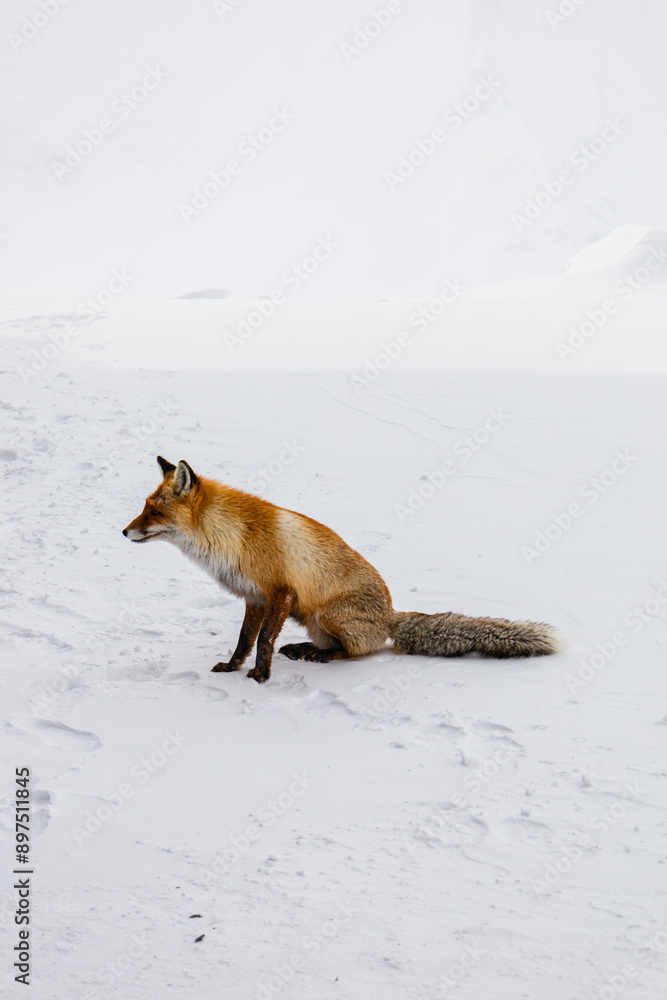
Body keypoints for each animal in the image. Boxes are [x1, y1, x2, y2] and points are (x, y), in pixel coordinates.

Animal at [122, 456, 559, 683]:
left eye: (154, 512)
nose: (124, 531)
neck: (231, 535)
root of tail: (390, 615)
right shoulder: (254, 597)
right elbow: (245, 640)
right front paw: (232, 668)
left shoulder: (280, 592)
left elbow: (262, 641)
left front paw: (261, 676)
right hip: (311, 617)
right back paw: (305, 649)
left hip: (324, 613)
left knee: (356, 651)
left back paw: (321, 656)